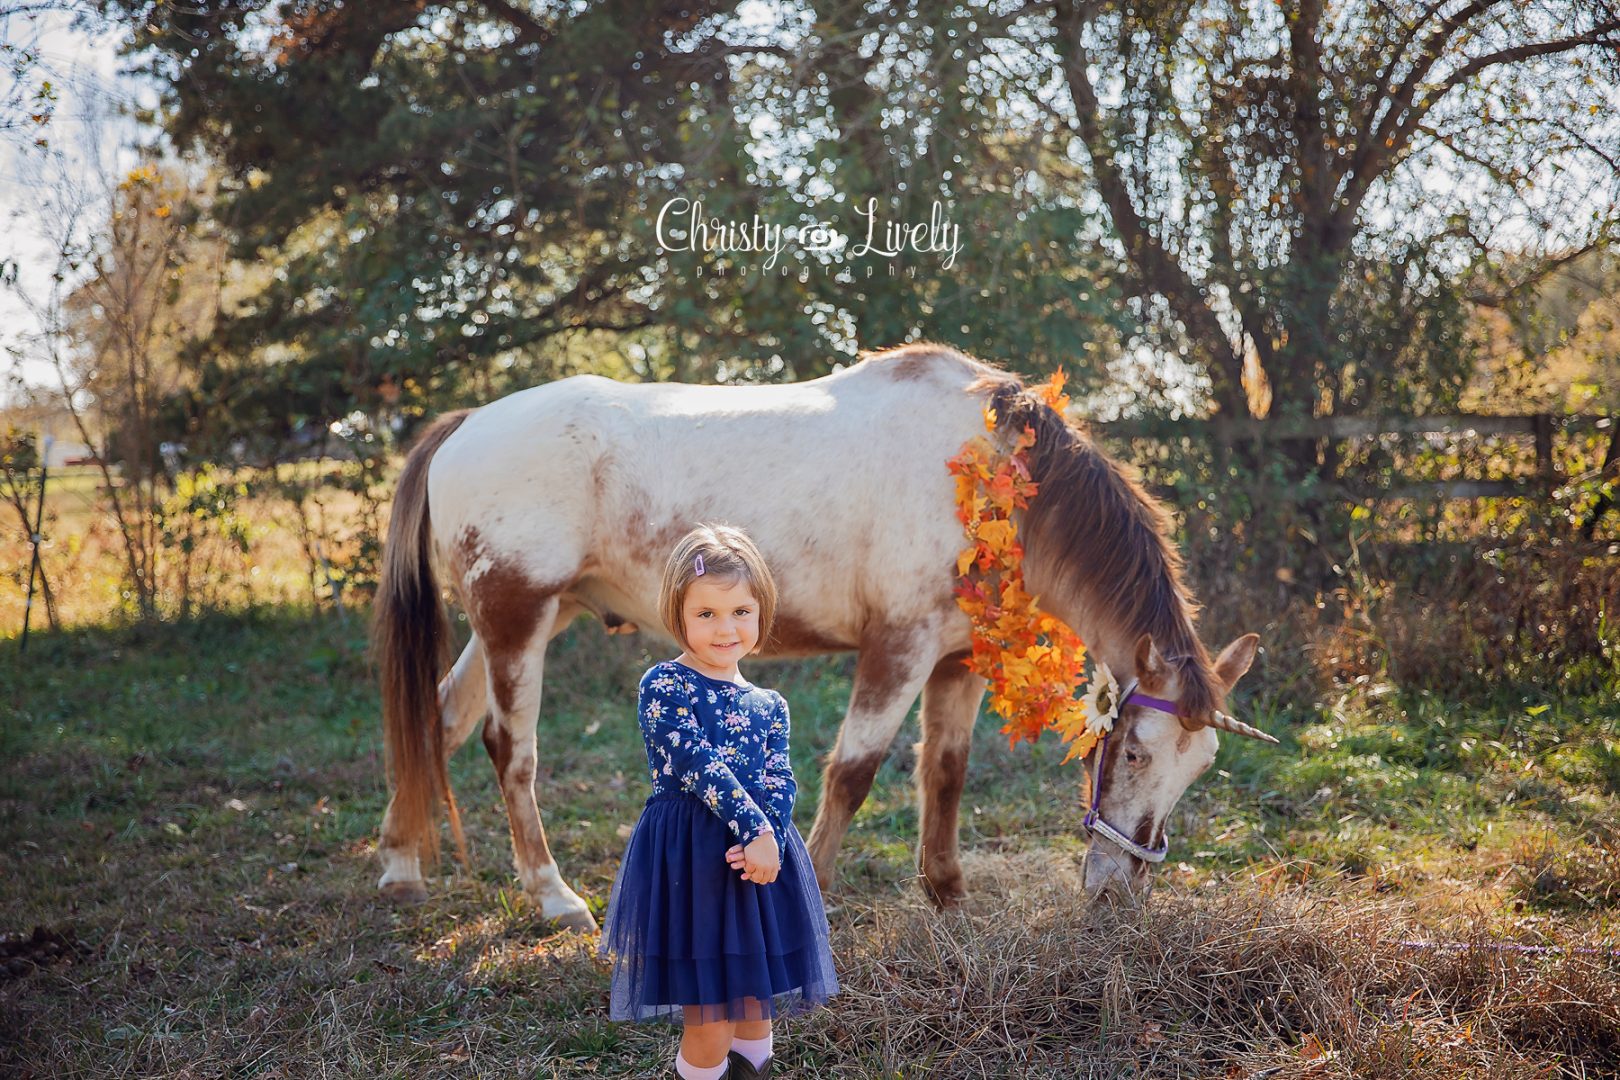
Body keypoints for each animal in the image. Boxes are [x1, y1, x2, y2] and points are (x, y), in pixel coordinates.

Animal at [372, 344, 1270, 932]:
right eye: (1133, 753)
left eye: (1200, 767)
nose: (1119, 892)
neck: (991, 473)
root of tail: (468, 424)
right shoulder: (897, 649)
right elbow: (853, 773)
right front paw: (818, 890)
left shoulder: (958, 660)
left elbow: (944, 773)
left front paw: (946, 893)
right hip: (517, 617)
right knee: (507, 748)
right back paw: (553, 895)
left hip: (531, 616)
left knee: (437, 721)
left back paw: (401, 868)